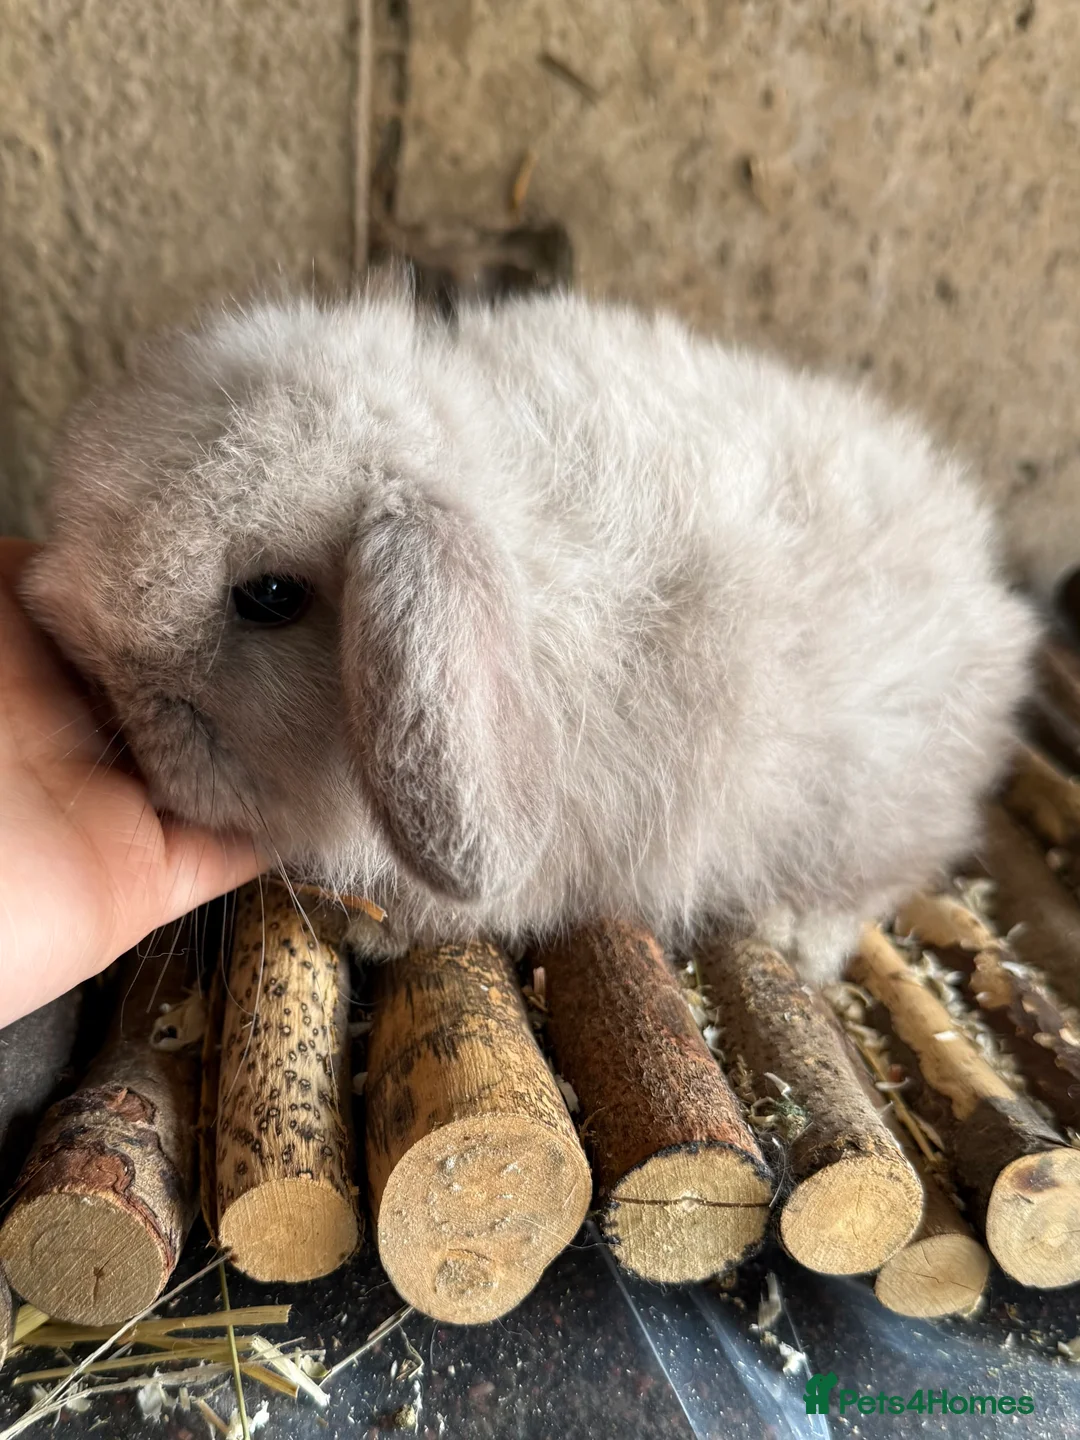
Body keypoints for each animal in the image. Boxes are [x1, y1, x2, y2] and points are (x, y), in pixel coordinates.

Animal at [22, 281, 1039, 985]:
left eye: (269, 596)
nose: (110, 699)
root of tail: (995, 599)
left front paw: (367, 928)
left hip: (869, 799)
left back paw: (796, 932)